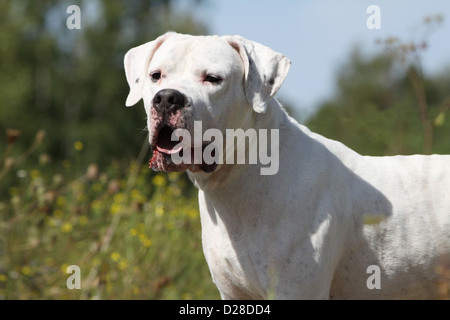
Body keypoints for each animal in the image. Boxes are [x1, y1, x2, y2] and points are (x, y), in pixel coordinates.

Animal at [125, 32, 450, 300]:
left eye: (213, 78)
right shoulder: (233, 293)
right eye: (156, 75)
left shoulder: (295, 289)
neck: (240, 184)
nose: (167, 98)